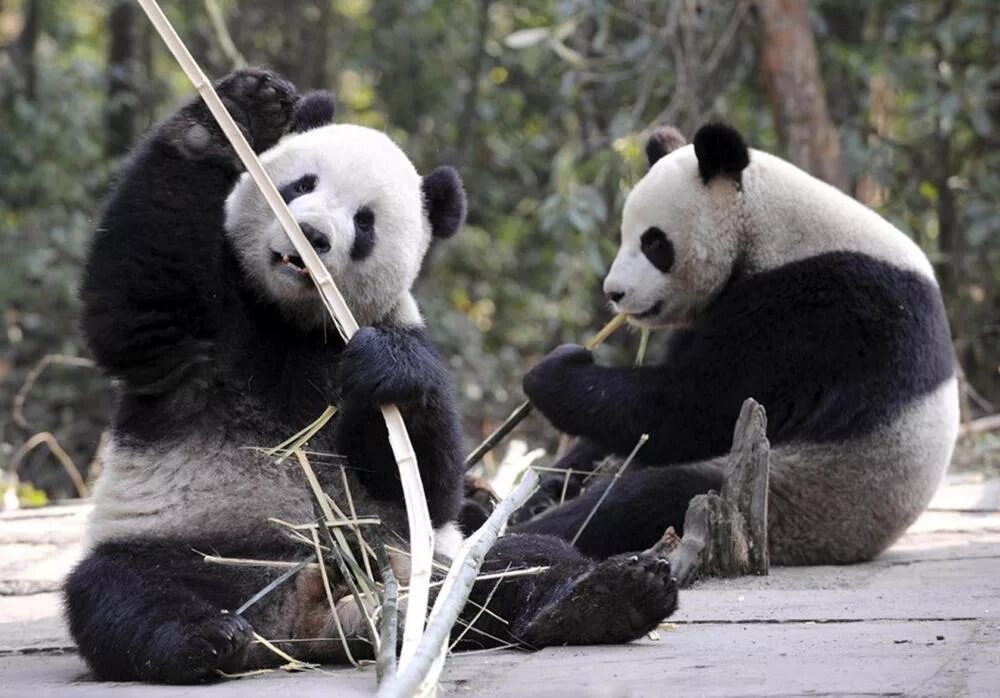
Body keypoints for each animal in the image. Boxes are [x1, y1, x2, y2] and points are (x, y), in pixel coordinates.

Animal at [64, 69, 678, 684]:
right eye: (299, 185)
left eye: (364, 222)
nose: (311, 236)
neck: (292, 321)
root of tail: (303, 622)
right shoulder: (210, 328)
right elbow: (137, 300)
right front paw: (236, 114)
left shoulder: (390, 330)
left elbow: (427, 484)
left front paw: (388, 370)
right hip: (201, 548)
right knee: (122, 589)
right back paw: (203, 639)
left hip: (415, 562)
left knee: (517, 565)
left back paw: (607, 596)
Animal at [512, 123, 959, 568]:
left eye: (654, 243)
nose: (615, 292)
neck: (768, 227)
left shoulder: (823, 312)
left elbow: (700, 406)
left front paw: (554, 374)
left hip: (801, 493)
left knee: (644, 500)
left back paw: (526, 541)